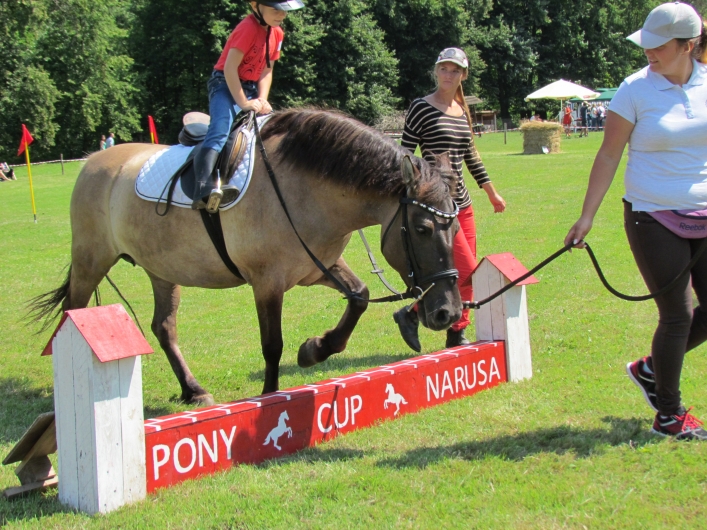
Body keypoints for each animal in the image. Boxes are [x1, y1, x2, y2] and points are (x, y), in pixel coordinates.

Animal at [30, 108, 462, 406]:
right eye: (423, 229)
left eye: (455, 229)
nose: (448, 312)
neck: (304, 187)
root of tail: (93, 161)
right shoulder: (267, 283)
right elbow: (272, 345)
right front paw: (270, 398)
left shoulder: (316, 267)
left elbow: (359, 297)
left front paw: (315, 348)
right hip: (90, 260)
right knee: (72, 312)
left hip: (161, 270)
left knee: (163, 327)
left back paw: (193, 390)